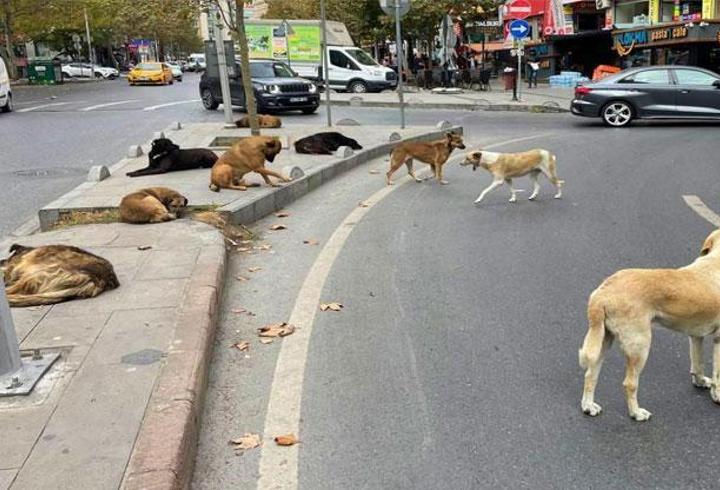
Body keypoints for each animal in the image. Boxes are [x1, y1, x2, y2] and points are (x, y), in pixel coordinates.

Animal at [580, 230, 720, 422]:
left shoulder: (695, 335)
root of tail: (602, 292)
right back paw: (636, 413)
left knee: (590, 375)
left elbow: (697, 363)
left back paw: (588, 406)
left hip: (603, 341)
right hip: (640, 346)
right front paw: (717, 395)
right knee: (629, 383)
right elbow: (717, 372)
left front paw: (700, 382)